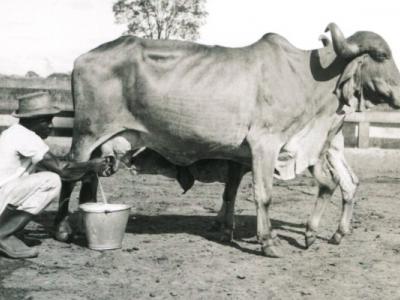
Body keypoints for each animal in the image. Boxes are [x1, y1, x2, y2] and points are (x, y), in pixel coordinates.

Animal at [55, 24, 400, 258]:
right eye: (382, 55)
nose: (398, 95)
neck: (305, 77)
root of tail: (82, 58)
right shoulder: (265, 144)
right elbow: (263, 195)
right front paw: (268, 241)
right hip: (86, 134)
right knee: (70, 175)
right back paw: (62, 230)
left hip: (100, 141)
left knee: (88, 179)